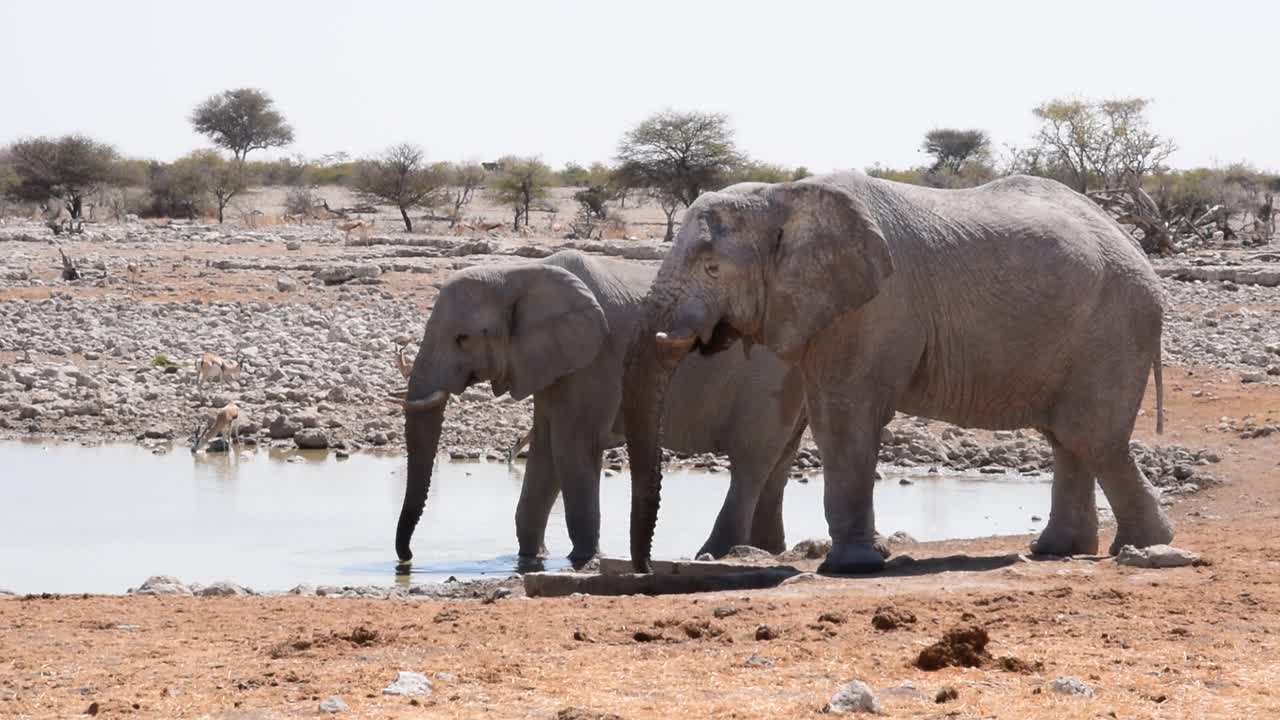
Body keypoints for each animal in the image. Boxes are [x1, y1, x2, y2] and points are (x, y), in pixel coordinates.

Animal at [394, 245, 803, 566]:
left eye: (462, 339)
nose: (406, 558)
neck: (519, 274)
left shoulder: (596, 360)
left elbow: (571, 446)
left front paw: (582, 559)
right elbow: (545, 449)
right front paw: (530, 558)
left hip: (768, 381)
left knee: (750, 462)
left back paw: (711, 554)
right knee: (779, 464)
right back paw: (768, 552)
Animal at [624, 172, 1172, 571]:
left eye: (712, 268)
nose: (647, 569)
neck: (784, 196)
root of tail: (1134, 244)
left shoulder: (874, 307)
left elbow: (843, 416)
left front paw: (852, 567)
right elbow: (831, 414)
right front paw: (871, 557)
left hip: (1114, 327)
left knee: (1091, 436)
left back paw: (1146, 547)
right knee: (1069, 439)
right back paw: (1059, 550)